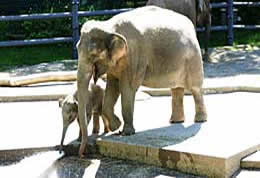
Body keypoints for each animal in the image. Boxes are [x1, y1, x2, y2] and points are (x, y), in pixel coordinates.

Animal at [76, 5, 207, 157]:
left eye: (93, 54)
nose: (82, 154)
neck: (109, 26)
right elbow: (112, 88)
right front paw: (116, 127)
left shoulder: (134, 56)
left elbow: (127, 88)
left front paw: (126, 133)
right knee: (176, 89)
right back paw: (175, 121)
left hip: (193, 58)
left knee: (195, 88)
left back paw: (200, 120)